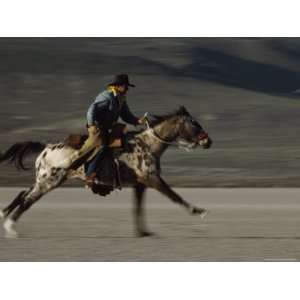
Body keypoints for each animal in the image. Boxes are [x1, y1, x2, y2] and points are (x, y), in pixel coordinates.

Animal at [0, 106, 212, 238]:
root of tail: (46, 147)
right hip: (48, 182)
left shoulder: (140, 184)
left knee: (23, 194)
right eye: (194, 123)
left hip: (42, 180)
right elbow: (174, 196)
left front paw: (143, 233)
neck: (149, 145)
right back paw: (11, 229)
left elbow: (137, 208)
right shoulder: (153, 179)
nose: (208, 141)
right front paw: (198, 211)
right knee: (27, 201)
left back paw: (4, 215)